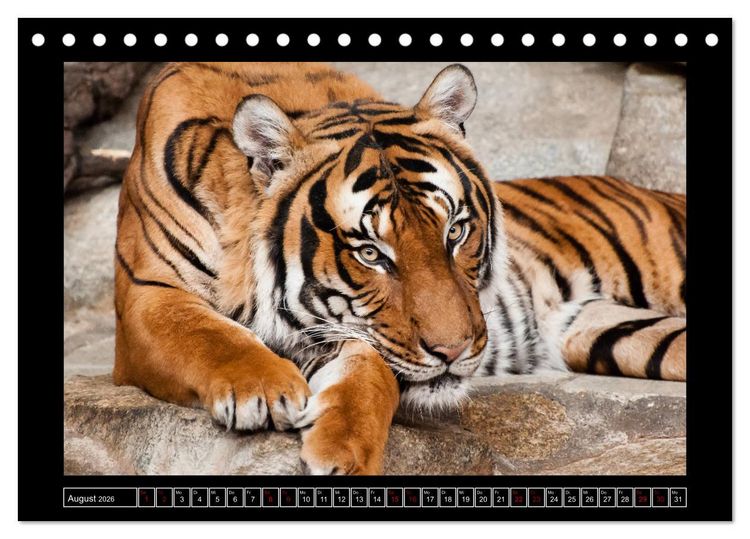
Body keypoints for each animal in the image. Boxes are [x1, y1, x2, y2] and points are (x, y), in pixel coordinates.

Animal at [113, 62, 686, 475]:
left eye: (454, 232)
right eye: (371, 253)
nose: (454, 352)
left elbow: (371, 373)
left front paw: (345, 451)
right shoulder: (146, 295)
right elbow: (202, 332)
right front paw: (263, 388)